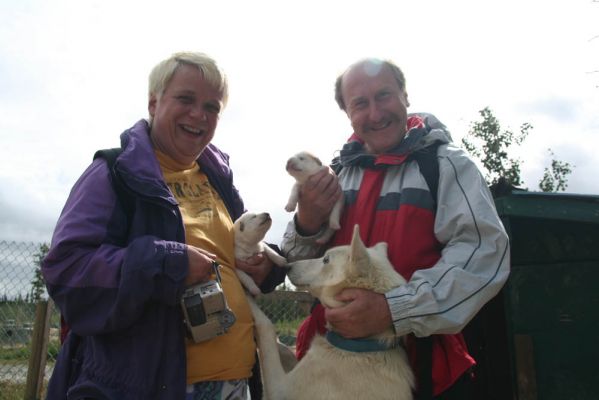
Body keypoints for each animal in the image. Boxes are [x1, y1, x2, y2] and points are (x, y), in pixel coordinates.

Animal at [247, 225, 412, 400]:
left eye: (326, 259)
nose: (287, 267)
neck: (361, 345)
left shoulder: (280, 390)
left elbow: (266, 327)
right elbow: (284, 349)